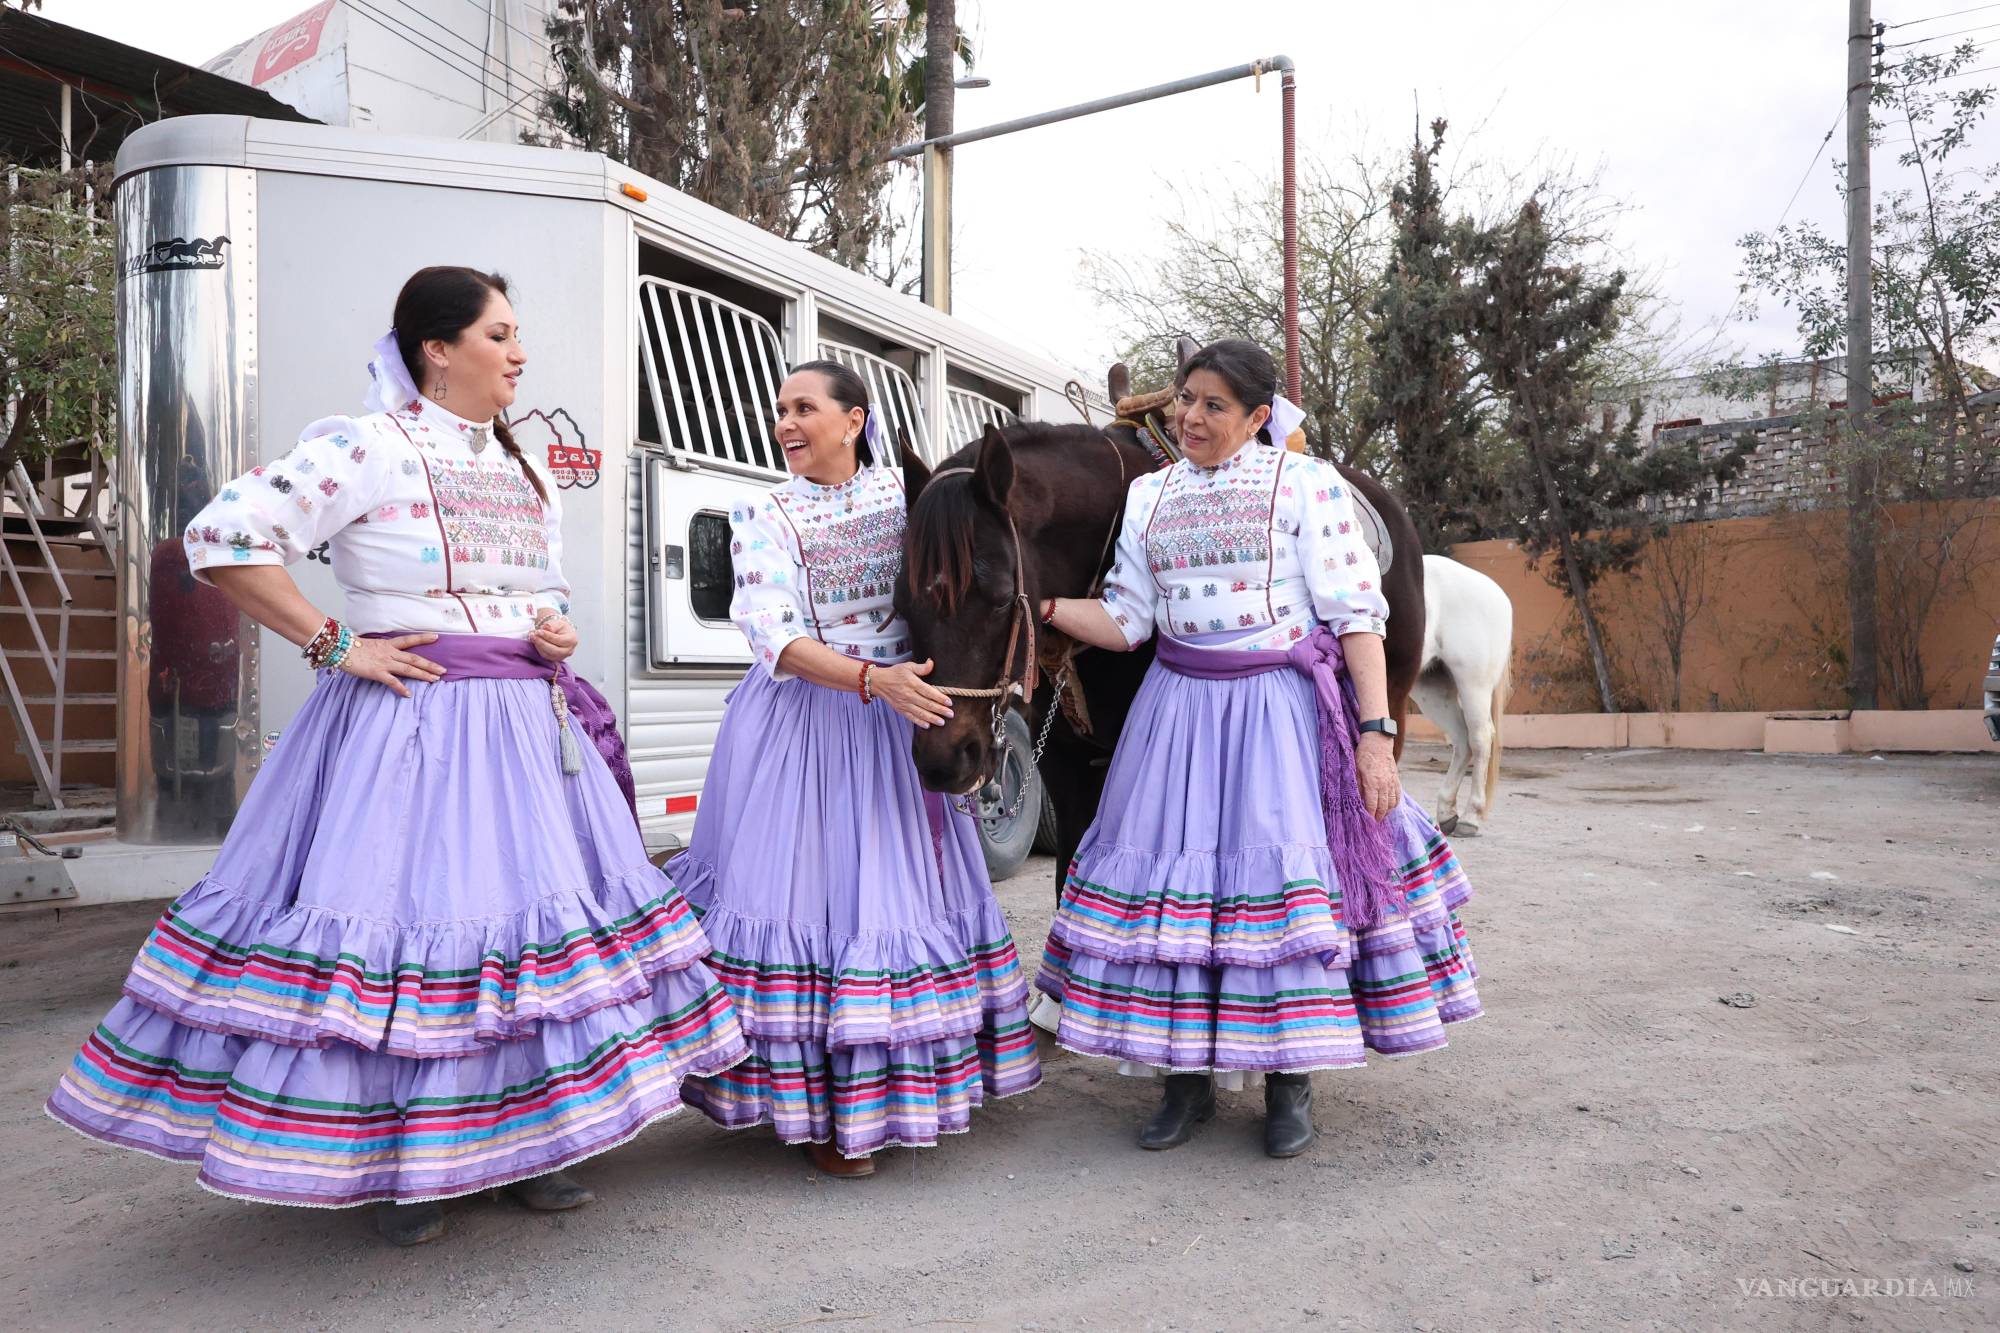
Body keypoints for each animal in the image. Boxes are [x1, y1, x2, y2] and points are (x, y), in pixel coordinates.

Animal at [1408, 552, 1512, 832]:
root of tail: (1498, 594)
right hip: (1432, 691)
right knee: (1462, 739)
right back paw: (1446, 812)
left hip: (1473, 684)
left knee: (1480, 738)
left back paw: (1470, 816)